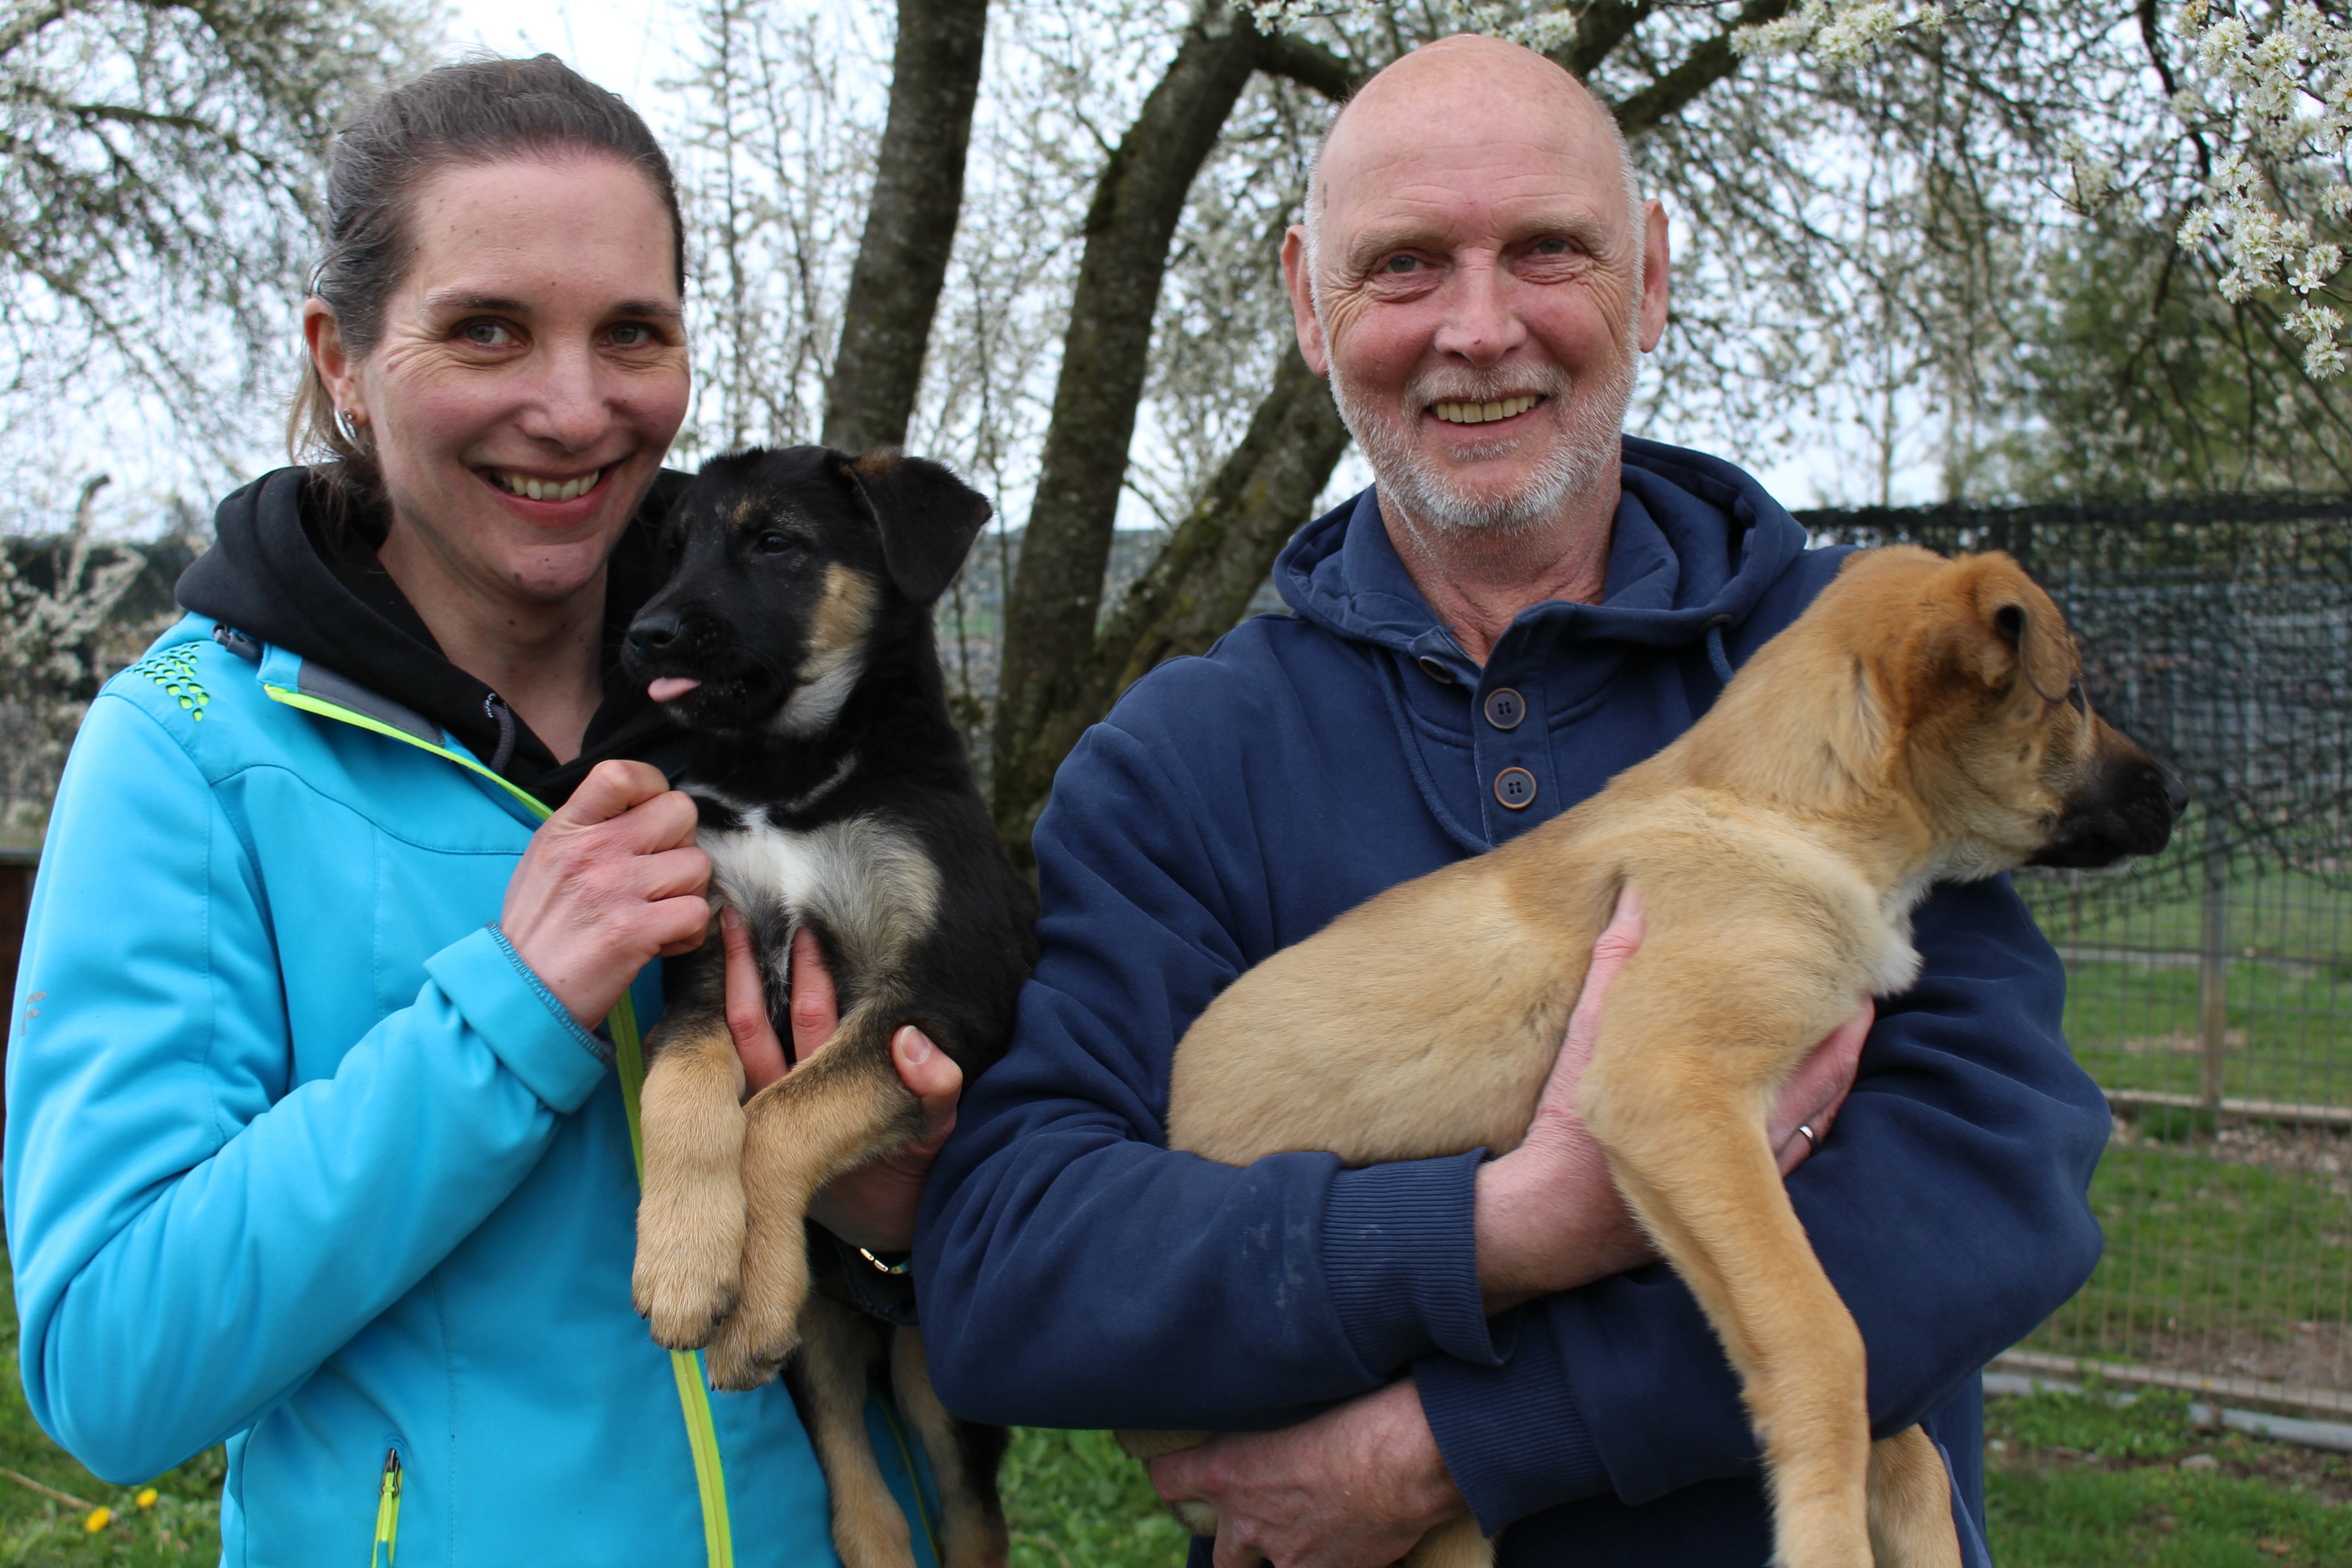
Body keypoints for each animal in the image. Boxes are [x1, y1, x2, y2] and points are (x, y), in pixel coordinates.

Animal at [621, 444, 1035, 1568]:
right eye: (675, 547)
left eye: (775, 542)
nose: (642, 633)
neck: (788, 778)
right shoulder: (704, 969)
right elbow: (683, 1097)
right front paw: (685, 1262)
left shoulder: (939, 999)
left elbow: (778, 1113)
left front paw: (740, 1280)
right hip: (833, 1357)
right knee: (864, 1502)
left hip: (942, 1390)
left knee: (966, 1515)